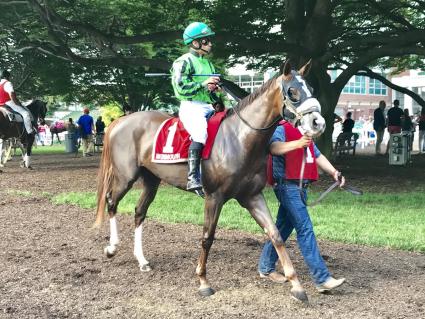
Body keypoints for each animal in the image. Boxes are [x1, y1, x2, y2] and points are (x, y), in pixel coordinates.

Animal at [93, 61, 324, 304]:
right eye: (292, 91)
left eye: (311, 88)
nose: (318, 123)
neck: (240, 138)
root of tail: (120, 121)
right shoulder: (214, 197)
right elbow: (207, 237)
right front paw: (203, 281)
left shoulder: (252, 196)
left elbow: (275, 235)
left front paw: (296, 285)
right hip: (125, 176)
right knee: (111, 201)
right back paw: (112, 247)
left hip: (151, 180)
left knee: (139, 211)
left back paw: (142, 260)